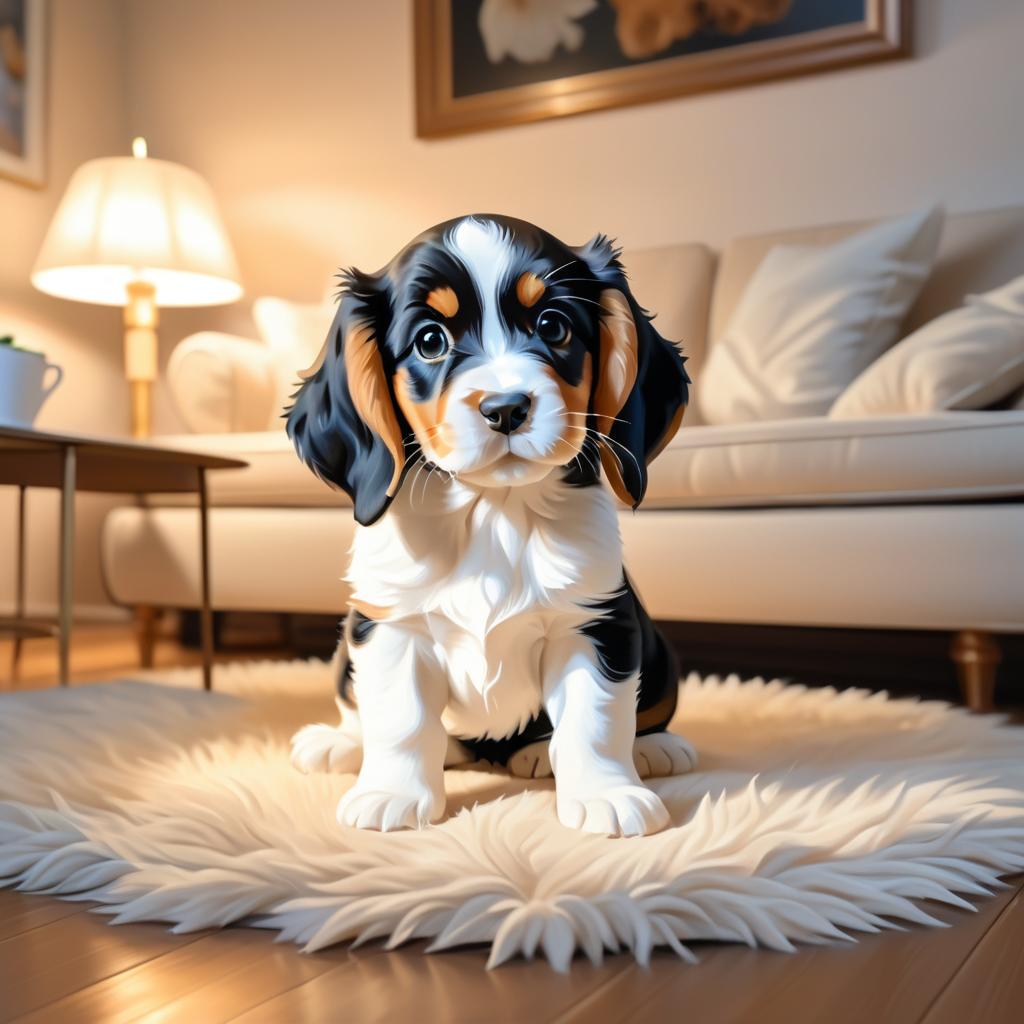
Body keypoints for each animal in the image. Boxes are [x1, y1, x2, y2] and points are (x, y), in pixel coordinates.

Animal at [286, 211, 696, 835]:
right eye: (431, 340)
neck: (493, 514)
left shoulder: (596, 623)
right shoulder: (390, 624)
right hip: (345, 648)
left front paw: (607, 793)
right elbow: (400, 719)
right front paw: (392, 793)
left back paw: (644, 748)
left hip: (657, 650)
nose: (505, 408)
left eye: (553, 327)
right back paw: (339, 744)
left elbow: (596, 720)